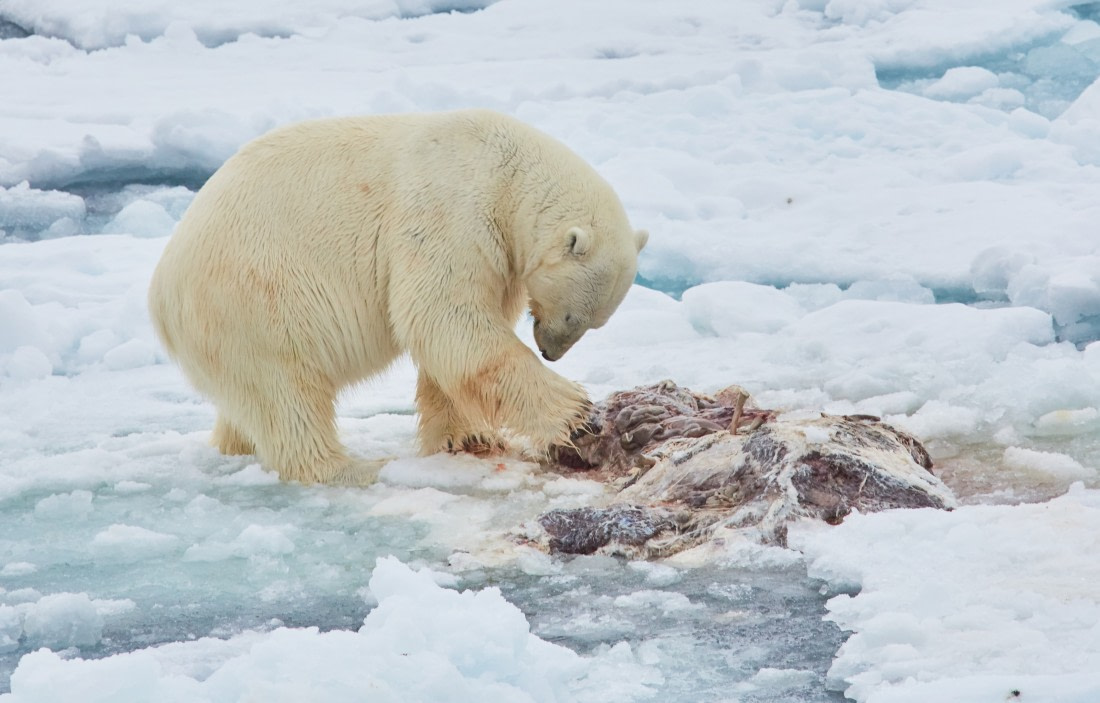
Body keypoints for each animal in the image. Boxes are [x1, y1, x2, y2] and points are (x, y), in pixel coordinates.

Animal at [148, 109, 648, 485]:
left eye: (594, 322)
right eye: (574, 317)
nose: (550, 351)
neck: (506, 171)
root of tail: (161, 297)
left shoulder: (501, 255)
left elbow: (454, 342)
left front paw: (468, 439)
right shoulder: (452, 212)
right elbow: (446, 317)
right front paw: (576, 415)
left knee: (248, 403)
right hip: (254, 298)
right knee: (286, 394)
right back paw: (352, 468)